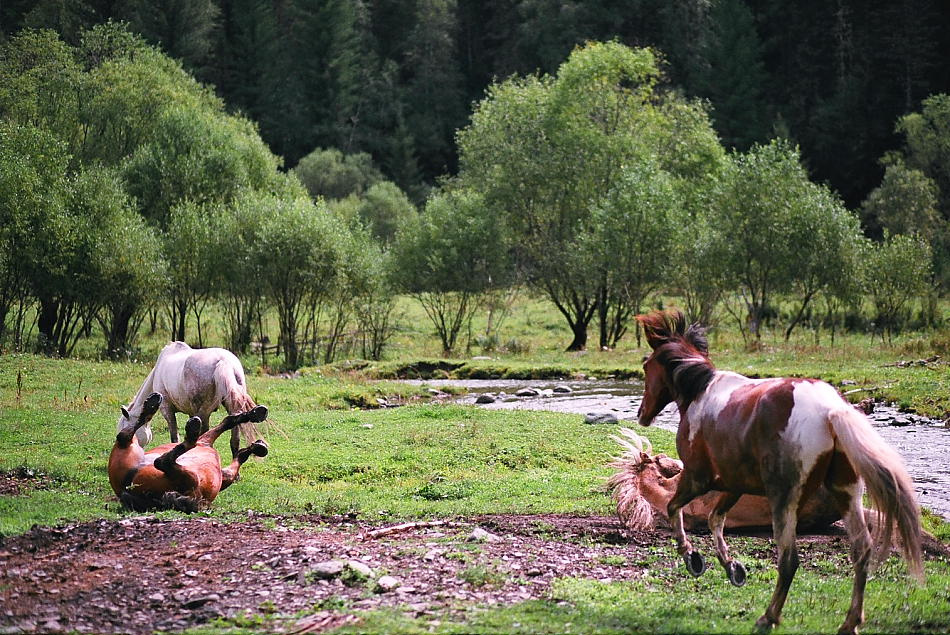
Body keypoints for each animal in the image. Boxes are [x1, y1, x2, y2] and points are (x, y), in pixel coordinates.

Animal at [108, 392, 269, 512]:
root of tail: (127, 490)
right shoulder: (206, 441)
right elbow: (228, 422)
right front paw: (255, 414)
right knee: (159, 458)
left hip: (130, 451)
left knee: (130, 440)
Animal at [117, 341, 264, 459]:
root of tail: (224, 361)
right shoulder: (191, 413)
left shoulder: (167, 410)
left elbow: (174, 437)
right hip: (231, 408)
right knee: (234, 437)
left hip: (204, 412)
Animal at [636, 310, 922, 635]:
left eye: (647, 366)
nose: (642, 414)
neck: (701, 392)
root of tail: (829, 411)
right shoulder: (733, 485)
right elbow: (715, 520)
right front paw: (732, 568)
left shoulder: (698, 478)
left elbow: (675, 508)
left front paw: (692, 558)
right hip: (846, 493)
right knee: (861, 550)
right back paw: (850, 623)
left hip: (784, 499)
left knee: (789, 560)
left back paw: (768, 617)